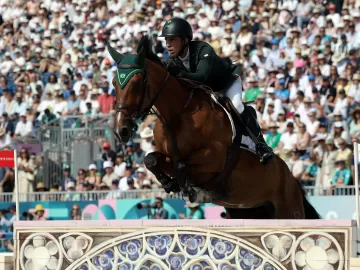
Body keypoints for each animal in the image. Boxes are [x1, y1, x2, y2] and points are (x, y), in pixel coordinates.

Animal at [107, 42, 320, 219]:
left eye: (137, 83)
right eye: (114, 84)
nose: (121, 130)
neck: (177, 115)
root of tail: (291, 178)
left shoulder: (215, 158)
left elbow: (181, 165)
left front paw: (187, 189)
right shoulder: (168, 155)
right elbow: (151, 159)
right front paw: (169, 184)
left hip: (288, 210)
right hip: (247, 211)